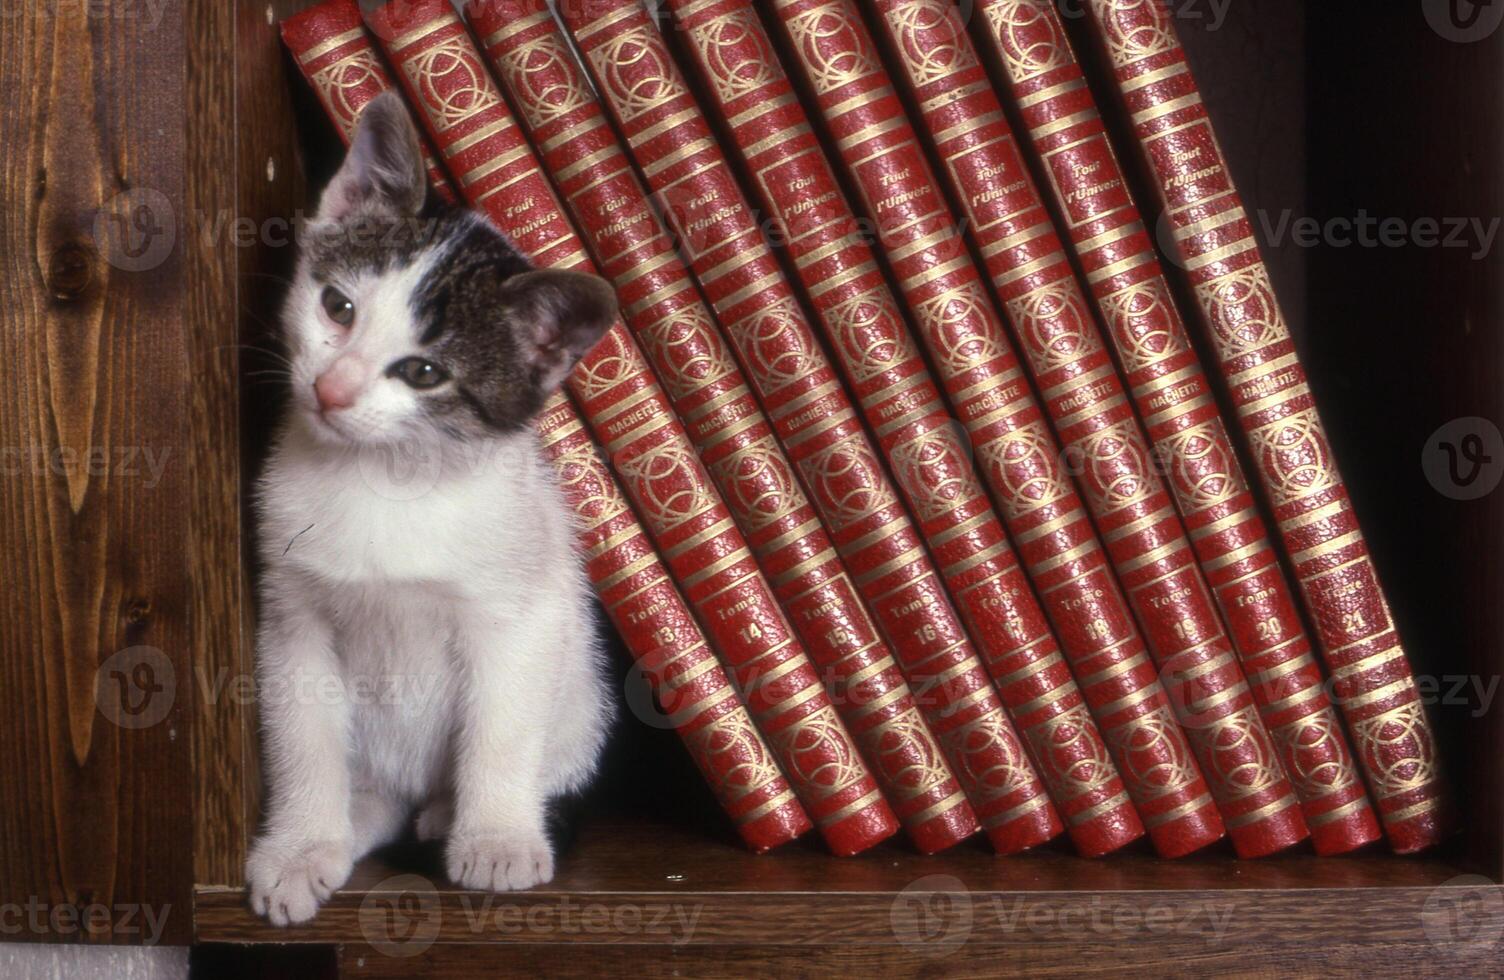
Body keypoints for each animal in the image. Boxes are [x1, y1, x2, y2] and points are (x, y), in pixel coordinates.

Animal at [246, 93, 616, 925]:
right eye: (338, 306)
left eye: (422, 372)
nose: (332, 390)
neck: (388, 480)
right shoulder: (292, 615)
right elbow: (302, 737)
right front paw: (299, 846)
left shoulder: (521, 615)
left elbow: (501, 728)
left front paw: (497, 838)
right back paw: (353, 823)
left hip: (582, 703)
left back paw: (454, 815)